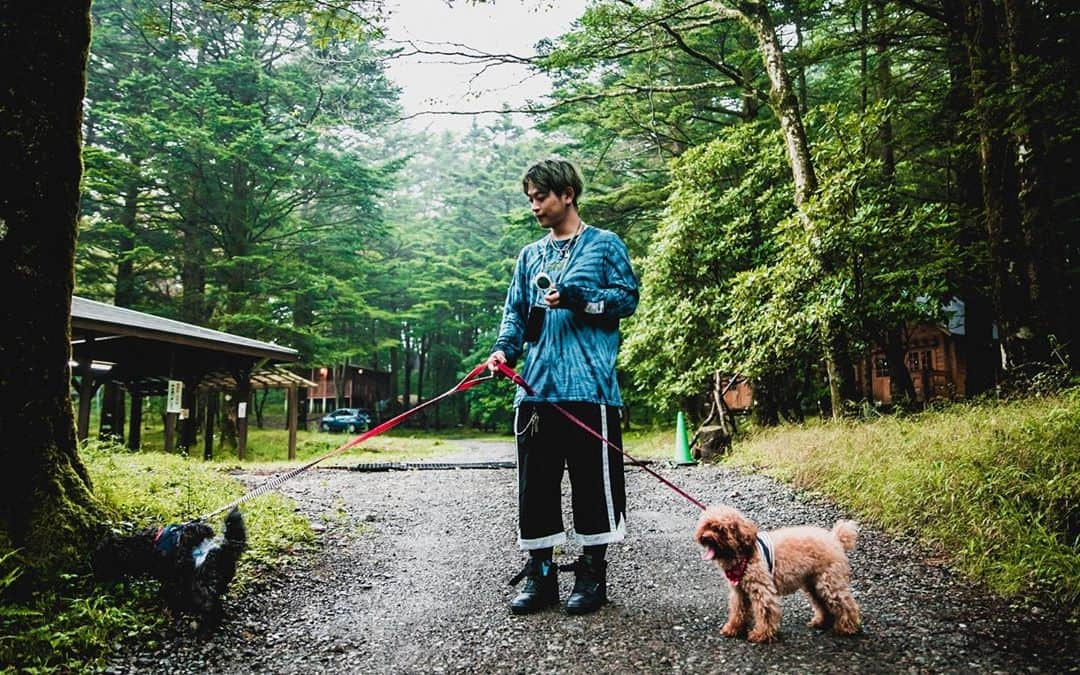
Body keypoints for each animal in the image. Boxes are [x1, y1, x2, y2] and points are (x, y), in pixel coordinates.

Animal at [91, 505, 247, 622]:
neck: (146, 546)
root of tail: (219, 550)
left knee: (209, 603)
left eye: (100, 561)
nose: (95, 575)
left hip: (202, 586)